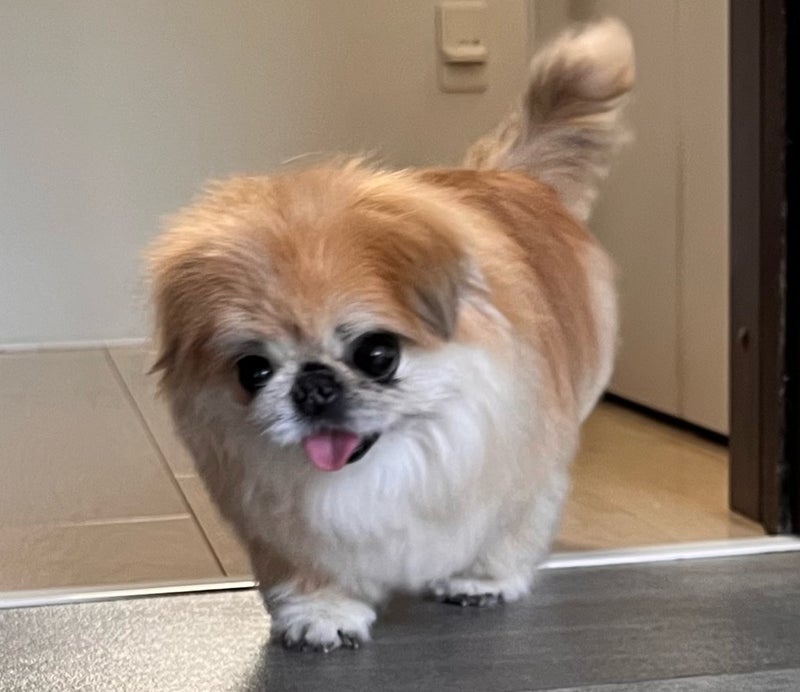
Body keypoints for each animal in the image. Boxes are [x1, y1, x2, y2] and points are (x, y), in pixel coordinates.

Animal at [148, 18, 634, 652]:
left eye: (377, 354)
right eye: (252, 370)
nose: (313, 385)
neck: (389, 468)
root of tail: (509, 174)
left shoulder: (524, 480)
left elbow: (506, 532)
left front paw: (481, 581)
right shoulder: (282, 527)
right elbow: (307, 574)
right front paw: (321, 612)